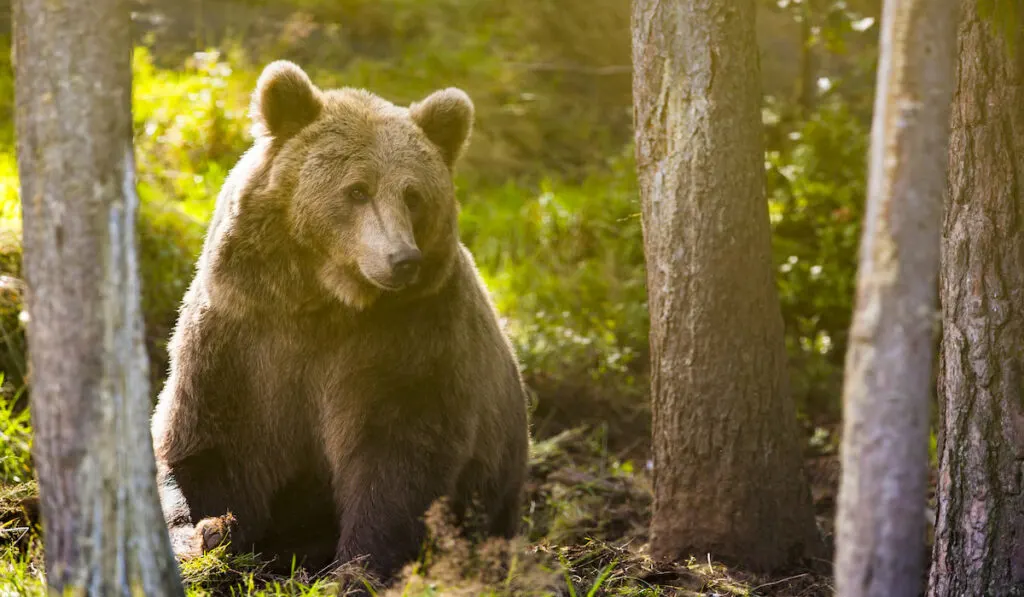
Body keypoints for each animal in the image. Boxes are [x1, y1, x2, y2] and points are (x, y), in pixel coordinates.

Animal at [152, 59, 536, 585]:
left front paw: (360, 566)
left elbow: (397, 462)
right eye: (357, 190)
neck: (325, 300)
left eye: (413, 195)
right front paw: (205, 533)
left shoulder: (408, 344)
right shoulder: (240, 334)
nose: (403, 259)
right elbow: (205, 446)